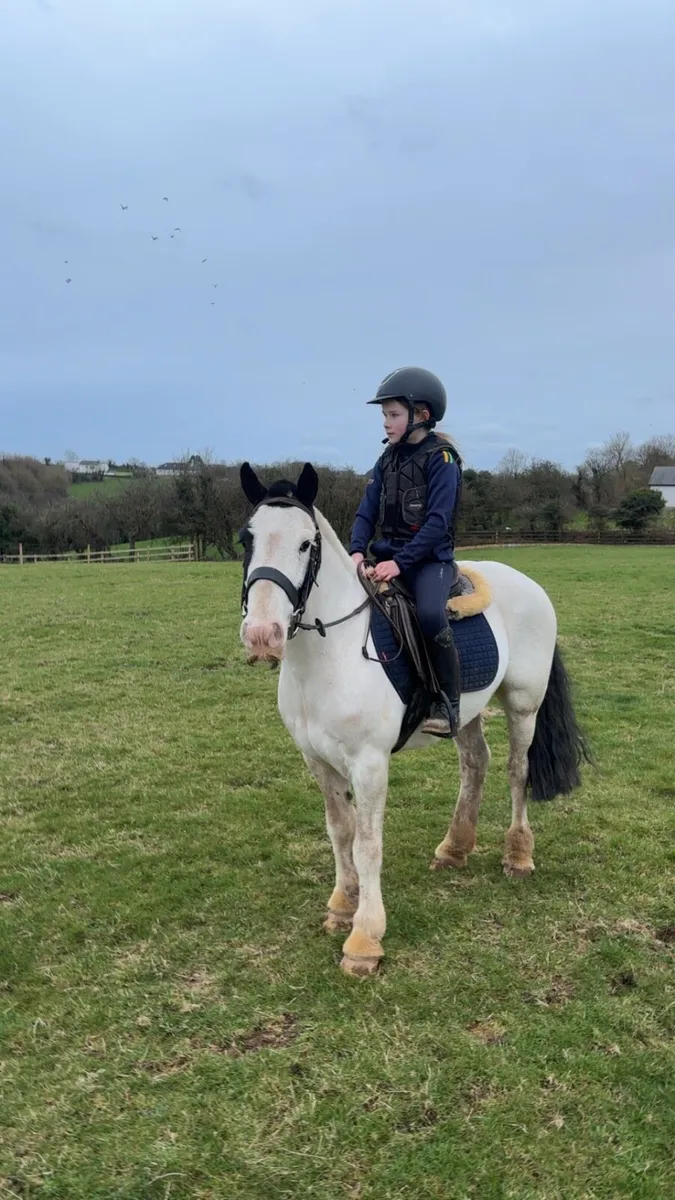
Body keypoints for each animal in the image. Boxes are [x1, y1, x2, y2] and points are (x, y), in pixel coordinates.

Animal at [238, 461, 590, 977]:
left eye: (306, 544)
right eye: (247, 539)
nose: (263, 635)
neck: (332, 654)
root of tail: (528, 585)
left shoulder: (369, 763)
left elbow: (367, 843)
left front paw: (364, 939)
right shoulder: (317, 762)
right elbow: (339, 831)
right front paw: (341, 906)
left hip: (524, 704)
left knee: (516, 770)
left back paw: (518, 856)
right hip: (465, 713)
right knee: (475, 764)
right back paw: (455, 848)